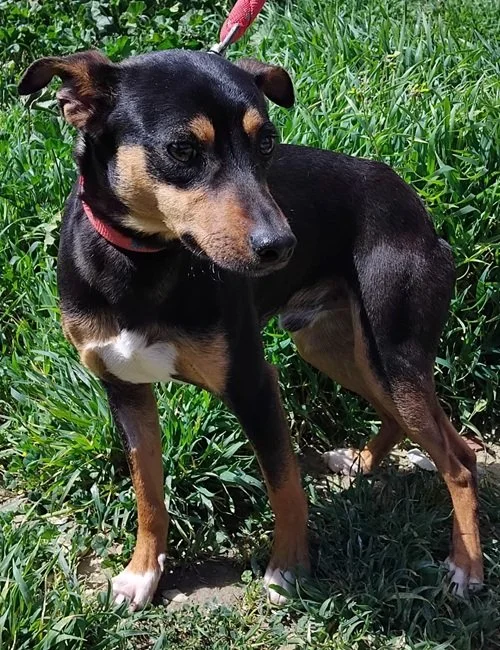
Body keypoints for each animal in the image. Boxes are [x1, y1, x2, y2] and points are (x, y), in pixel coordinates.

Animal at [18, 48, 483, 609]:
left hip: (391, 353)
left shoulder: (253, 385)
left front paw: (289, 567)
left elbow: (284, 484)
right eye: (182, 148)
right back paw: (363, 462)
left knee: (458, 462)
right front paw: (142, 573)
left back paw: (466, 566)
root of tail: (419, 212)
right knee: (429, 433)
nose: (281, 245)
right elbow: (148, 491)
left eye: (267, 142)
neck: (144, 261)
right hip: (334, 347)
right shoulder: (124, 388)